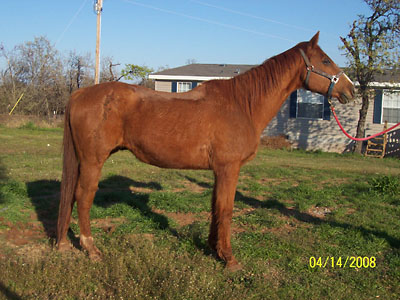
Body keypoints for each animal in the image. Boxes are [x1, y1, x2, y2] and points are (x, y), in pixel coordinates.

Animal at [57, 32, 356, 270]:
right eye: (325, 60)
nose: (350, 90)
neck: (242, 104)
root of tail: (79, 94)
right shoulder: (229, 168)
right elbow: (226, 209)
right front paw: (230, 259)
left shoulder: (218, 171)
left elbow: (215, 207)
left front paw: (214, 249)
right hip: (93, 160)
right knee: (83, 196)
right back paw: (92, 249)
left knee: (71, 196)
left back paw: (64, 244)